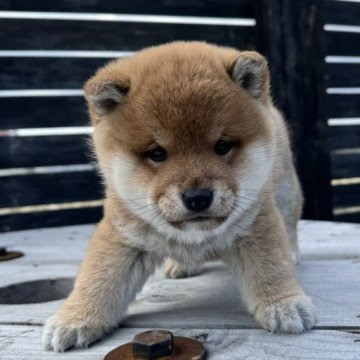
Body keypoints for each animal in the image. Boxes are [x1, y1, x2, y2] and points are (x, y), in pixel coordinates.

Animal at [43, 40, 316, 352]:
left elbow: (271, 265)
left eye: (222, 146)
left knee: (290, 225)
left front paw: (284, 304)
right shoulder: (122, 236)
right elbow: (98, 276)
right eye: (157, 153)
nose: (198, 197)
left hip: (285, 191)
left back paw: (292, 251)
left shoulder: (257, 222)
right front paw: (74, 318)